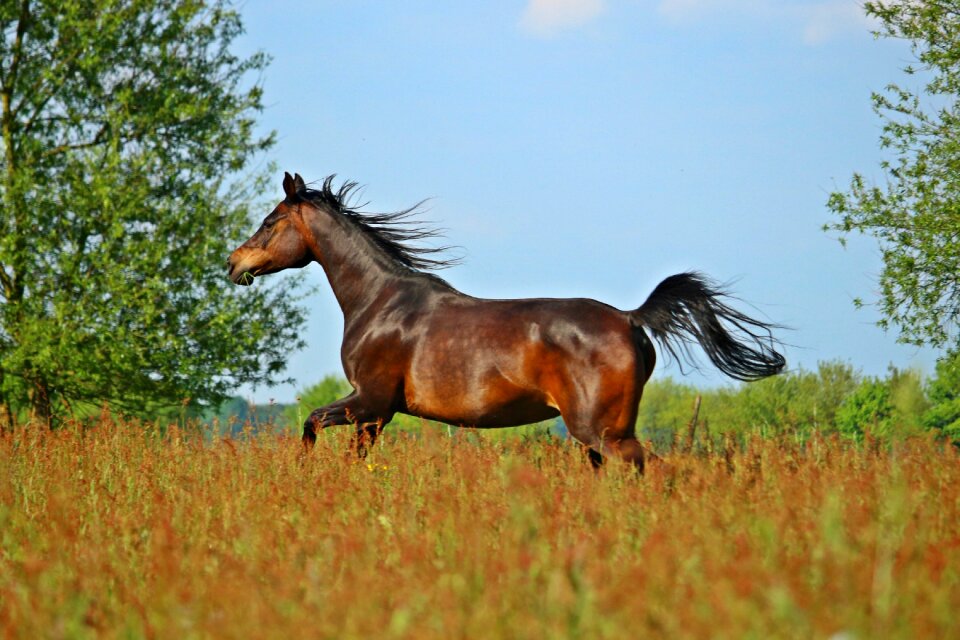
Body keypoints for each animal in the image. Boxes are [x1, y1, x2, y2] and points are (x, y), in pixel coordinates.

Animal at [229, 174, 784, 470]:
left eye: (270, 221)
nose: (234, 263)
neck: (380, 302)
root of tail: (630, 319)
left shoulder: (370, 400)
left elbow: (310, 424)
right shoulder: (375, 414)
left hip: (601, 431)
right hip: (597, 435)